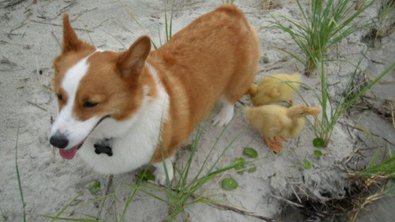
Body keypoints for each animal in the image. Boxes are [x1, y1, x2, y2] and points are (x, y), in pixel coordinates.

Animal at [49, 4, 260, 184]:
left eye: (91, 103)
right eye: (59, 96)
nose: (56, 142)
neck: (128, 122)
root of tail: (230, 11)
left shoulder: (164, 148)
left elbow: (162, 163)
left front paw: (163, 177)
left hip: (239, 80)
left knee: (230, 100)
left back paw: (223, 117)